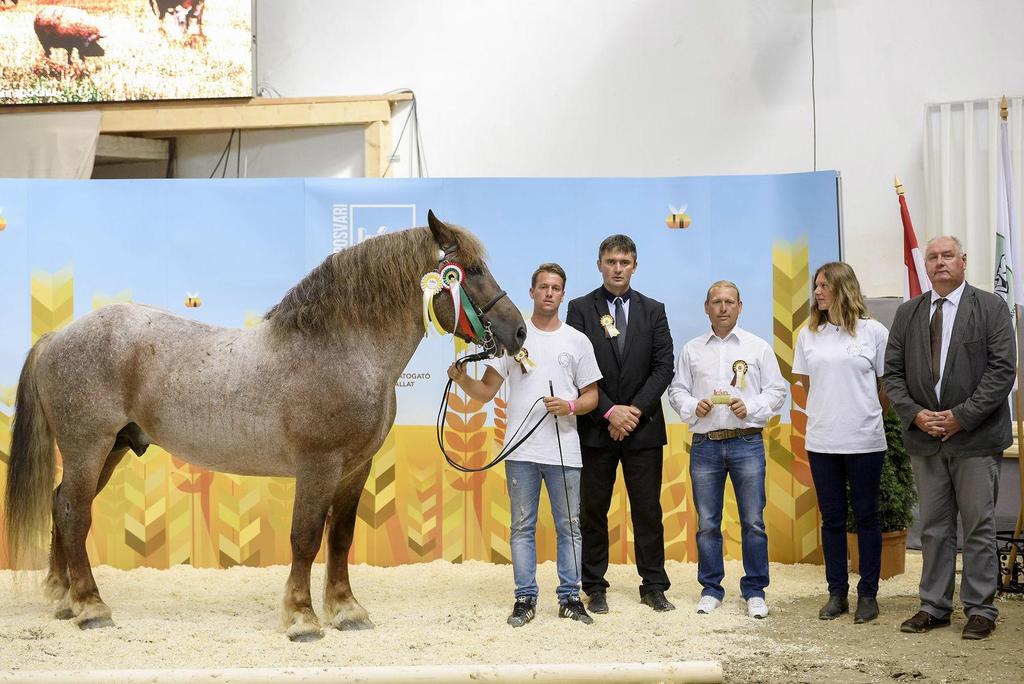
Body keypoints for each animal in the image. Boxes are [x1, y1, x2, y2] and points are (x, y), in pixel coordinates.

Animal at [4, 211, 524, 643]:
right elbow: (305, 537)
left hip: (108, 449)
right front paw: (302, 619)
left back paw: (64, 600)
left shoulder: (356, 468)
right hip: (87, 447)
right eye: (471, 271)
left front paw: (347, 611)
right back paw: (90, 607)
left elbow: (340, 538)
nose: (518, 331)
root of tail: (57, 336)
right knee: (73, 512)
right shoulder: (318, 466)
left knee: (61, 506)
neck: (341, 351)